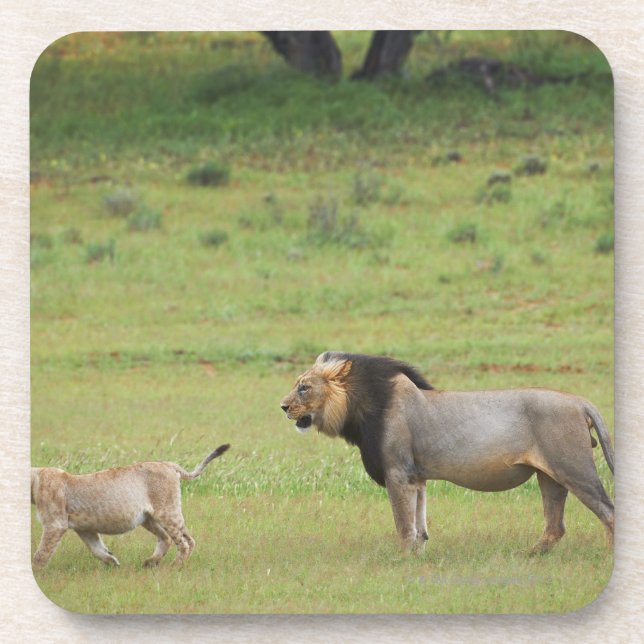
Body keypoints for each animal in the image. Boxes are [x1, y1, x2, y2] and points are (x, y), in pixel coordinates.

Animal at [31, 444, 230, 568]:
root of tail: (168, 464)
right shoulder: (85, 528)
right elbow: (97, 549)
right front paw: (112, 562)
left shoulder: (56, 525)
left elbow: (41, 553)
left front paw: (36, 574)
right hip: (150, 518)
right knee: (171, 538)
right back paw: (151, 562)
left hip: (167, 512)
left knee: (184, 542)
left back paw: (174, 566)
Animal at [280, 352, 614, 553]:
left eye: (304, 387)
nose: (282, 406)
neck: (360, 408)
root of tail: (579, 401)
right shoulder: (416, 477)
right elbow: (419, 524)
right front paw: (418, 557)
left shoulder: (397, 472)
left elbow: (403, 523)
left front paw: (402, 560)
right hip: (550, 476)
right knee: (555, 526)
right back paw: (529, 556)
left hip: (573, 468)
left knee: (608, 511)